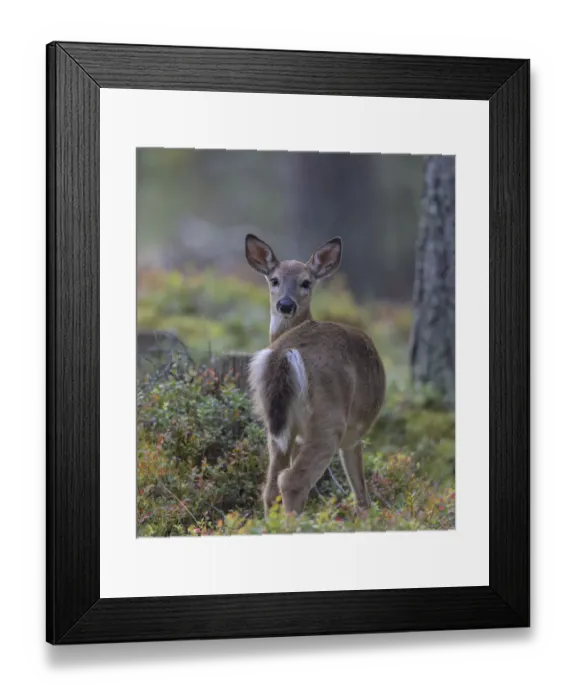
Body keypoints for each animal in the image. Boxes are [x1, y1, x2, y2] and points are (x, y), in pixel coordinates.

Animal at [245, 233, 386, 518]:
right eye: (274, 280)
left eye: (306, 282)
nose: (285, 305)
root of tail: (284, 353)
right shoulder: (354, 433)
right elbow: (360, 489)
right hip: (329, 418)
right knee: (292, 480)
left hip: (276, 425)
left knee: (270, 487)